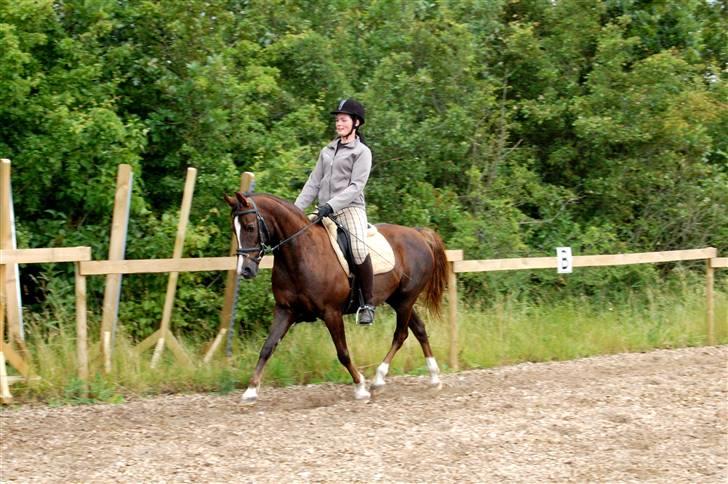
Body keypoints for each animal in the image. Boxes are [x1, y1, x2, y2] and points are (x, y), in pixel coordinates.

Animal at [222, 191, 450, 402]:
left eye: (250, 227)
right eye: (234, 230)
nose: (245, 270)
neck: (301, 253)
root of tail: (418, 234)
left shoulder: (331, 313)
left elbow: (343, 352)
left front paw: (360, 388)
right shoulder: (284, 310)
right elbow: (267, 347)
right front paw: (250, 391)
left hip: (405, 300)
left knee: (400, 335)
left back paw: (378, 380)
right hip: (397, 300)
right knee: (419, 329)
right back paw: (434, 378)